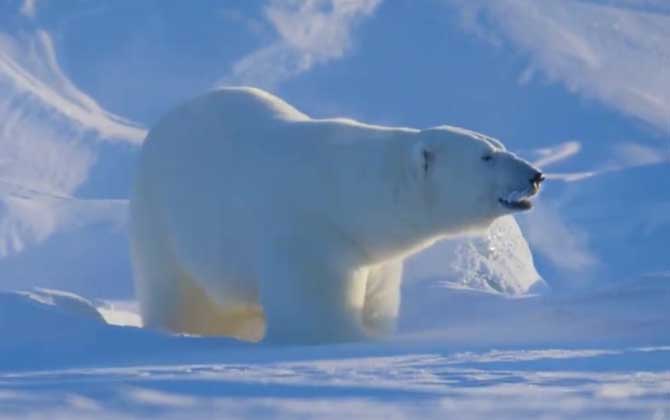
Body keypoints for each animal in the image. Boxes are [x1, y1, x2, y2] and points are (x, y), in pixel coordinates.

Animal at [130, 87, 544, 342]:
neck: (346, 193)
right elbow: (316, 315)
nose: (535, 176)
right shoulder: (308, 235)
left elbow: (377, 301)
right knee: (181, 291)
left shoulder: (374, 256)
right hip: (166, 220)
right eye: (486, 157)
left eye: (497, 145)